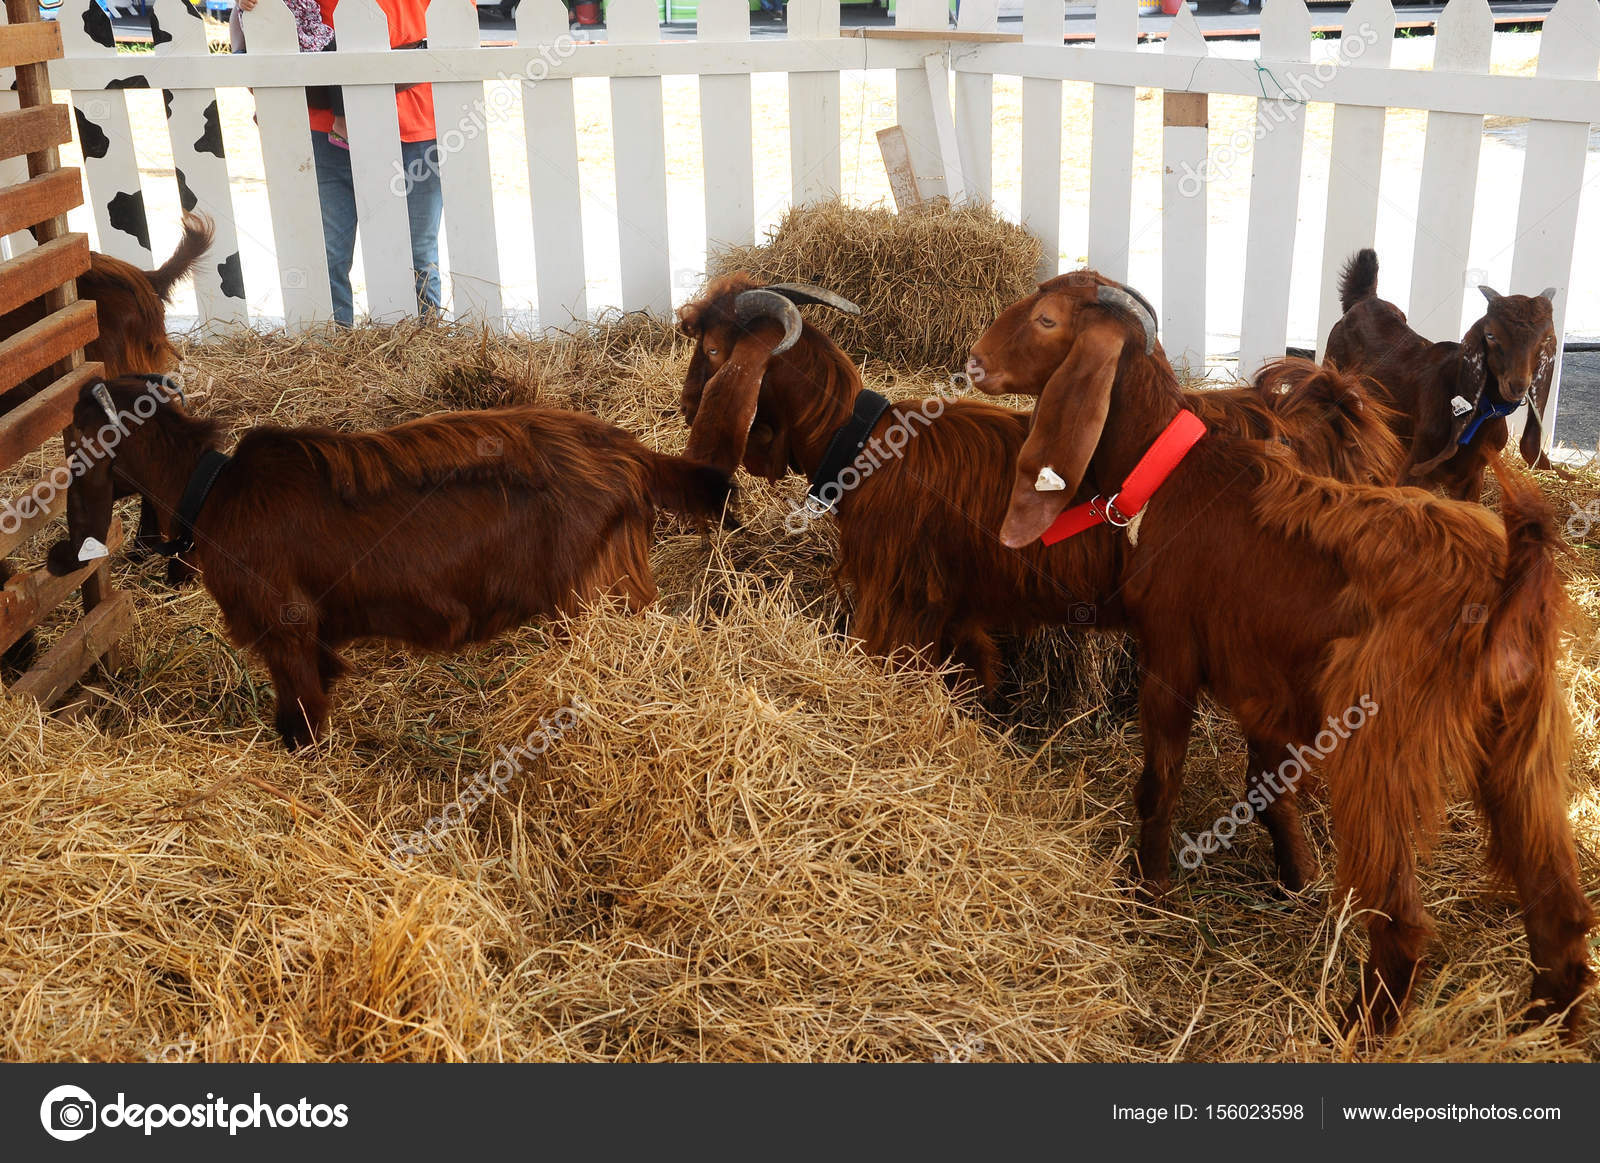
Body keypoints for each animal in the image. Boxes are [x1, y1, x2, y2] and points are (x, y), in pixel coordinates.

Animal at [62, 376, 731, 749]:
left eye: (71, 442)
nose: (64, 541)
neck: (214, 489)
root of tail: (634, 455)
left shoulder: (288, 630)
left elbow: (302, 725)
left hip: (597, 595)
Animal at [1325, 248, 1558, 501]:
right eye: (1490, 335)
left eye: (1546, 338)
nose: (1517, 385)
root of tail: (1362, 300)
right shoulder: (1415, 465)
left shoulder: (1472, 477)